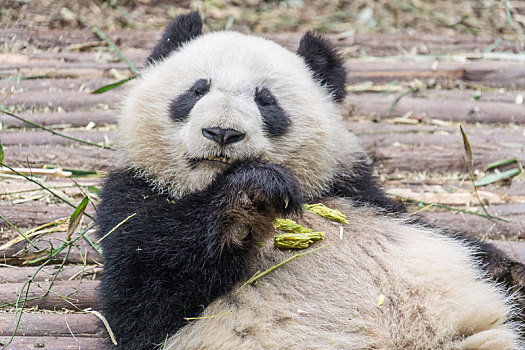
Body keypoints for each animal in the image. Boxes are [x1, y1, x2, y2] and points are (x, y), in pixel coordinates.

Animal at [96, 11, 520, 350]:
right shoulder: (132, 197)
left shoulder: (357, 193)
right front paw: (252, 193)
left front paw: (508, 270)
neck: (202, 186)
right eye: (197, 90)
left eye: (266, 100)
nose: (222, 133)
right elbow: (142, 295)